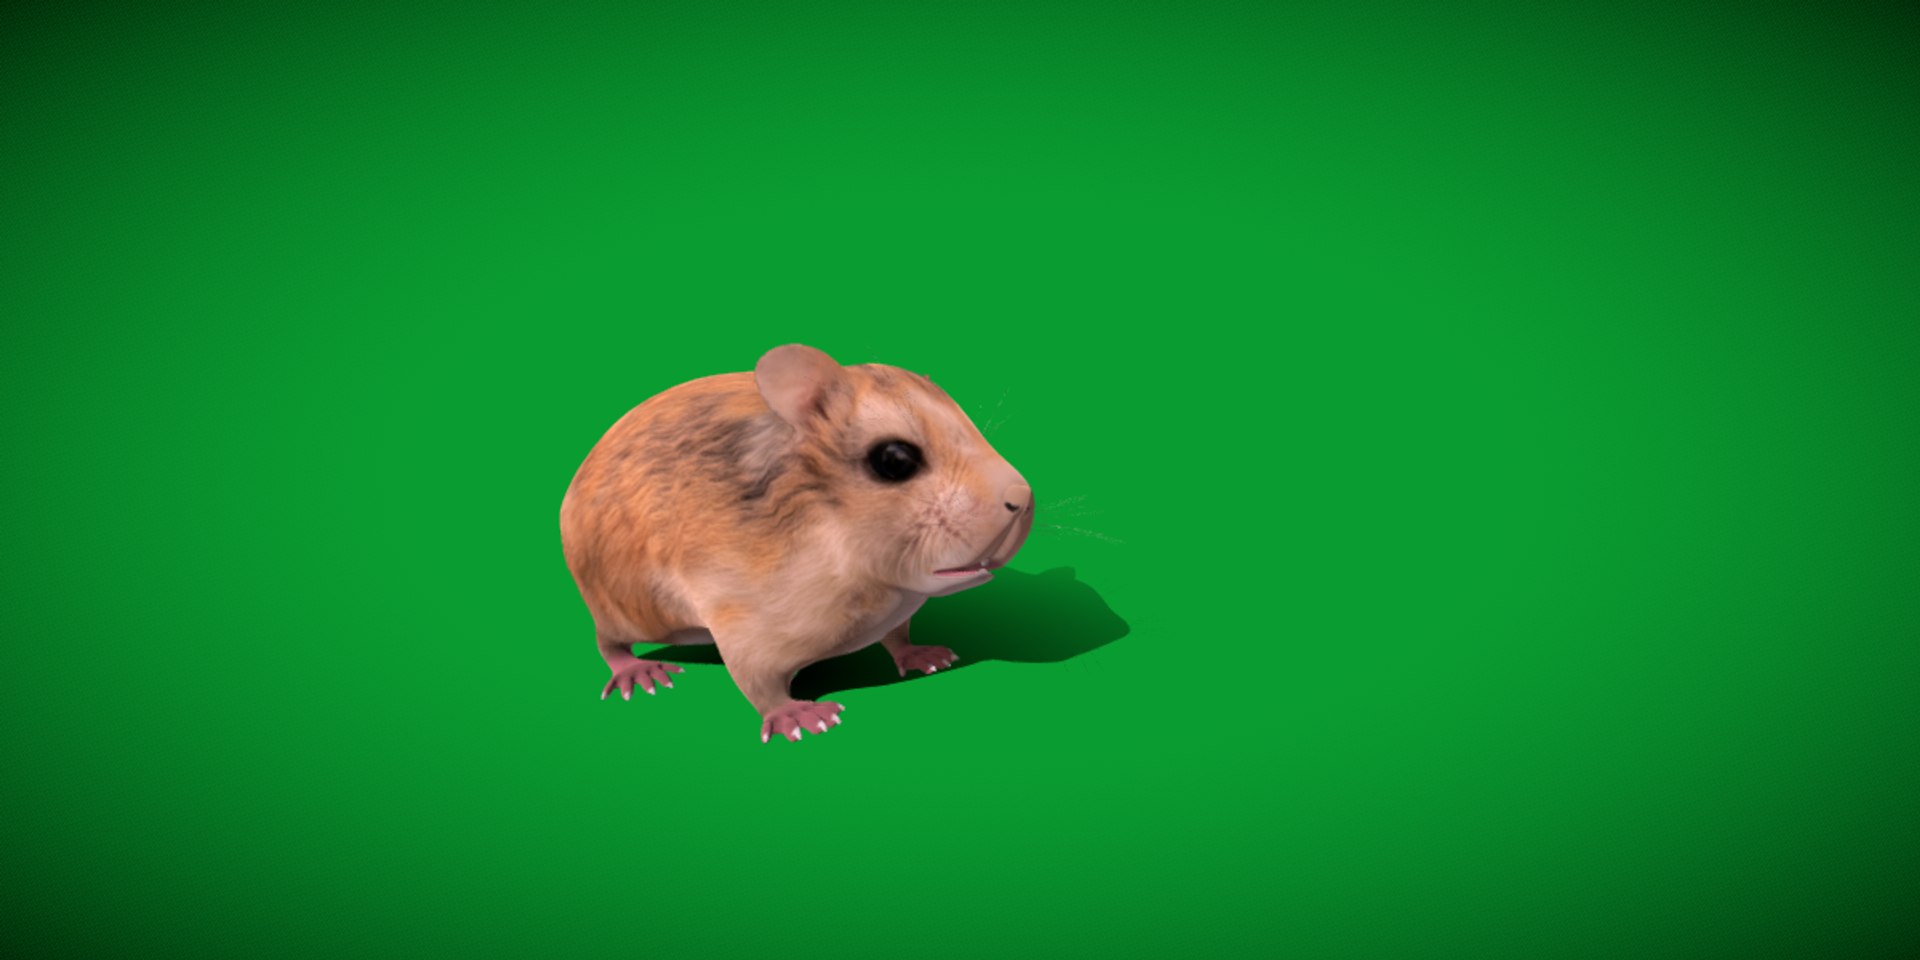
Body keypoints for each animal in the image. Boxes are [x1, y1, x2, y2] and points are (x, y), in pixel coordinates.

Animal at [559, 344, 1033, 743]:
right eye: (895, 460)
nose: (1023, 499)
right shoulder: (743, 621)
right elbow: (757, 681)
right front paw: (802, 717)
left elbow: (899, 636)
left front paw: (926, 655)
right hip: (629, 608)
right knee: (607, 641)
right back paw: (638, 671)